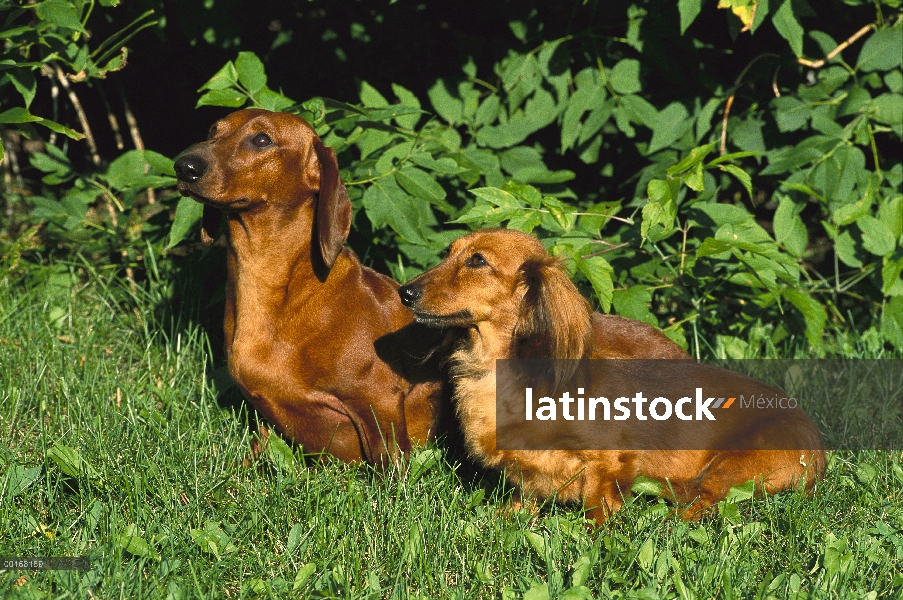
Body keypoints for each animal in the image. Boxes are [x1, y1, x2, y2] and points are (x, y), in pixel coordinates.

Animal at [400, 229, 824, 520]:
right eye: (448, 253)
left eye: (478, 261)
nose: (405, 292)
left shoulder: (611, 462)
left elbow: (597, 503)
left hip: (730, 468)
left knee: (704, 503)